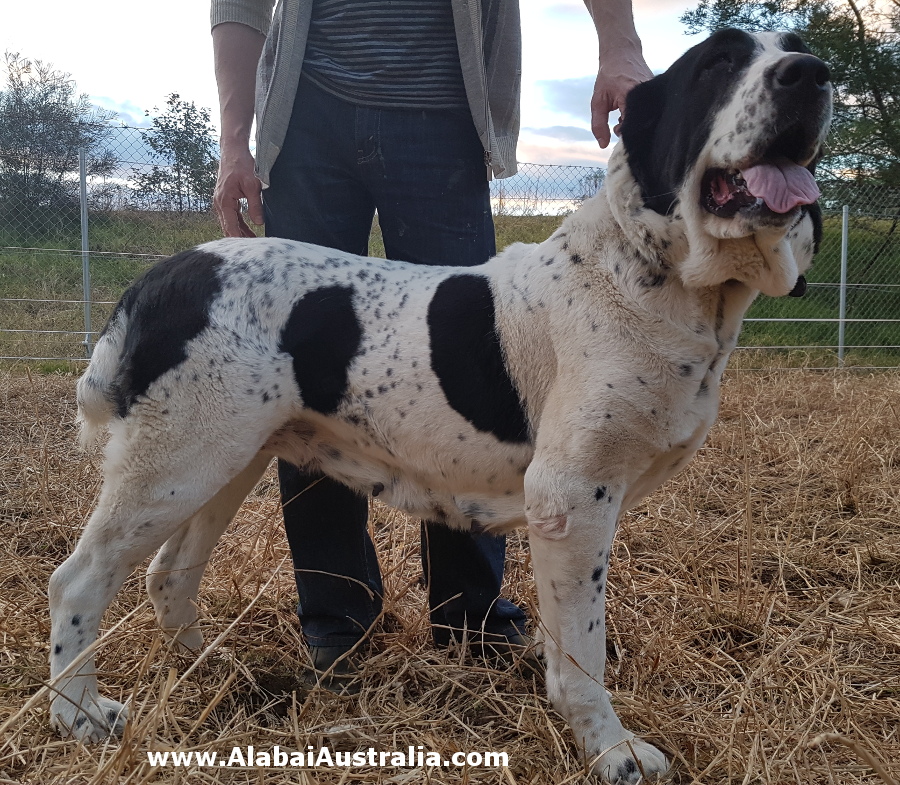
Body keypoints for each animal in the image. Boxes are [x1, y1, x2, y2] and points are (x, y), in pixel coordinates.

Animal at [49, 30, 828, 784]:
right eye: (718, 63)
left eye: (794, 44)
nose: (811, 75)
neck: (662, 277)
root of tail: (165, 274)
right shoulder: (573, 498)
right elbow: (584, 652)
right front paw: (612, 750)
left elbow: (563, 637)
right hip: (174, 466)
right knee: (77, 581)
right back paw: (80, 714)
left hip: (223, 463)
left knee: (168, 574)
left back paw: (212, 666)